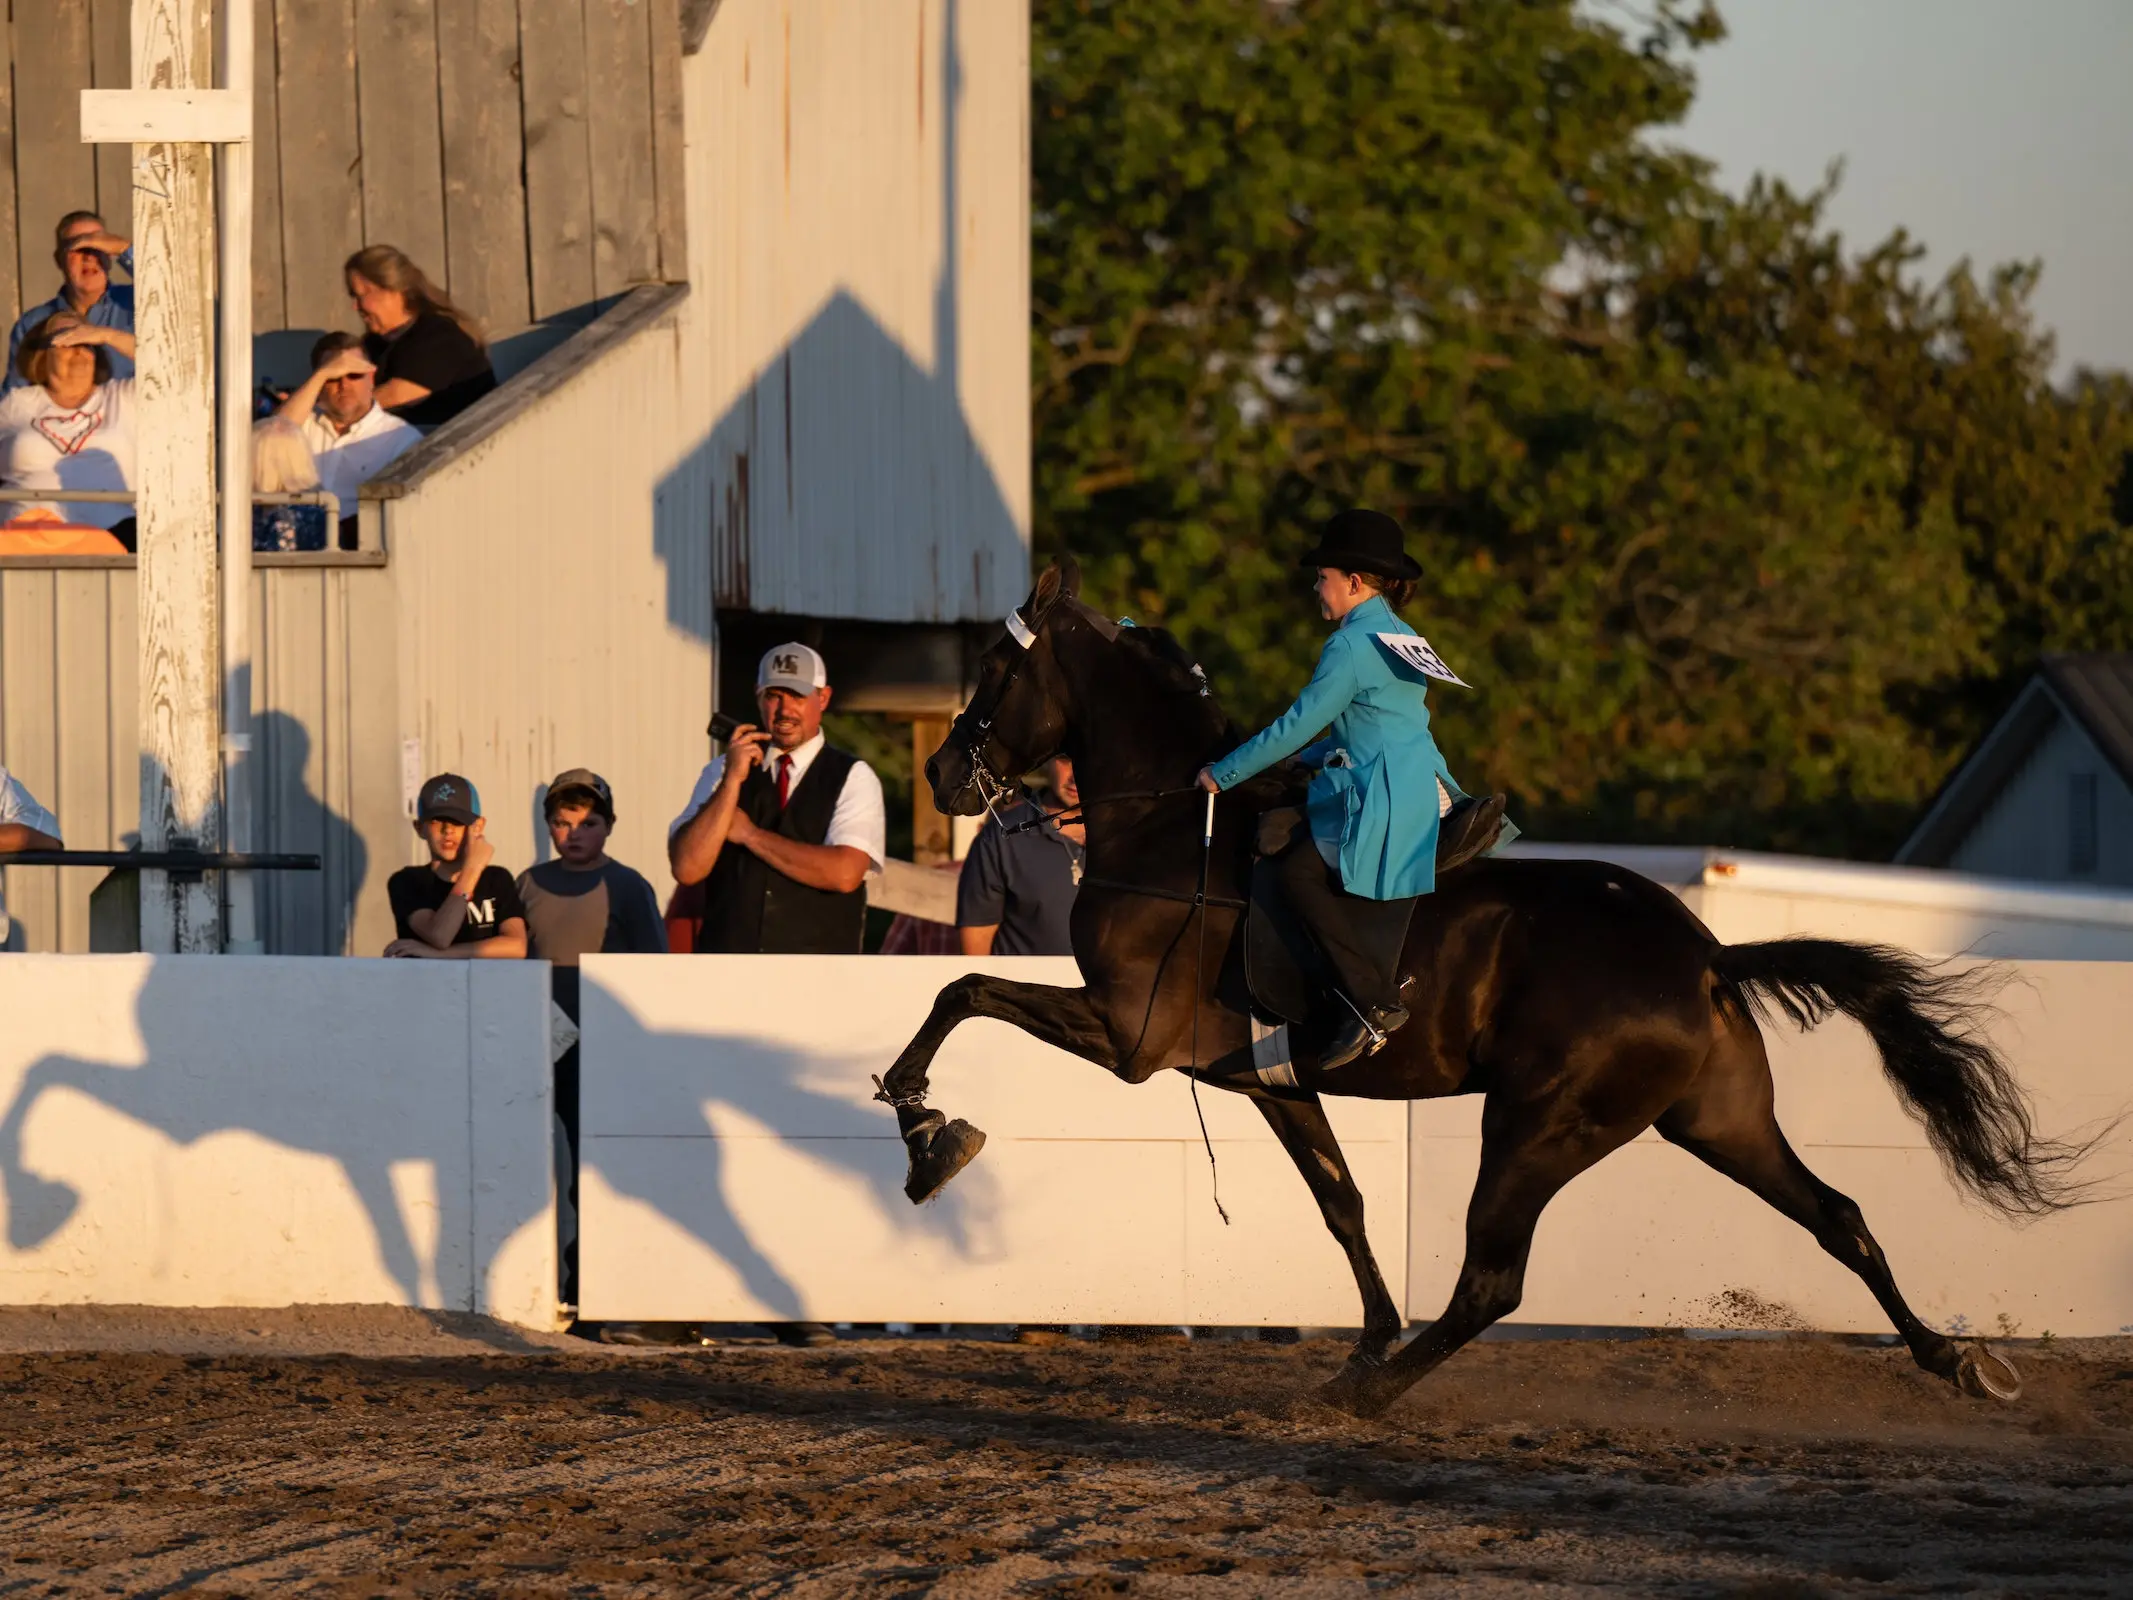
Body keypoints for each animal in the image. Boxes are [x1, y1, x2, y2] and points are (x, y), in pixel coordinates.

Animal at [878, 558, 2081, 1425]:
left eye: (994, 673)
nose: (939, 776)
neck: (1174, 828)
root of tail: (1700, 953)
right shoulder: (1267, 1079)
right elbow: (1343, 1205)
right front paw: (1366, 1331)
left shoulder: (1130, 1036)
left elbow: (963, 989)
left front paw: (929, 1135)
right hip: (1717, 1118)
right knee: (1840, 1217)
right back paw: (1955, 1361)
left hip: (1540, 1124)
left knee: (1493, 1283)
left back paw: (1372, 1395)